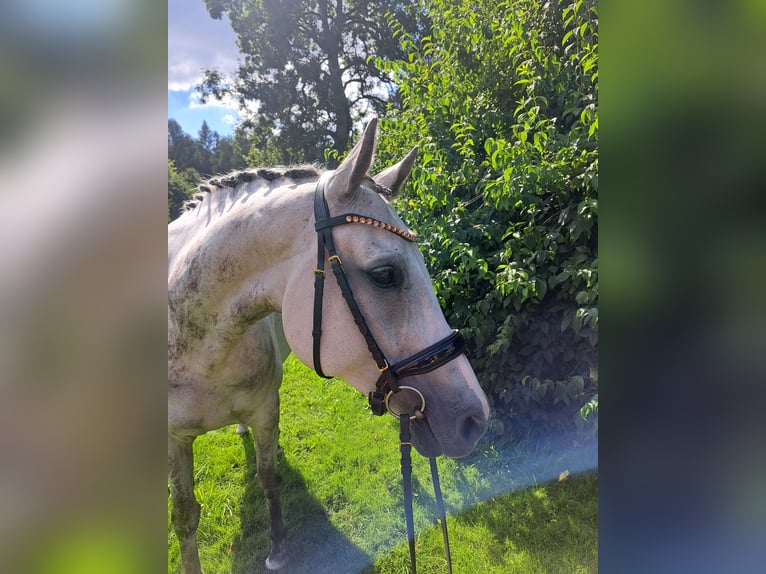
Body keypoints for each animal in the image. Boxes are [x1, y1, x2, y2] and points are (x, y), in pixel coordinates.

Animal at [169, 119, 492, 572]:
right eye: (385, 274)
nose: (475, 417)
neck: (199, 351)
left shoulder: (265, 408)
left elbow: (269, 479)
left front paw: (278, 549)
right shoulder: (172, 441)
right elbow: (184, 516)